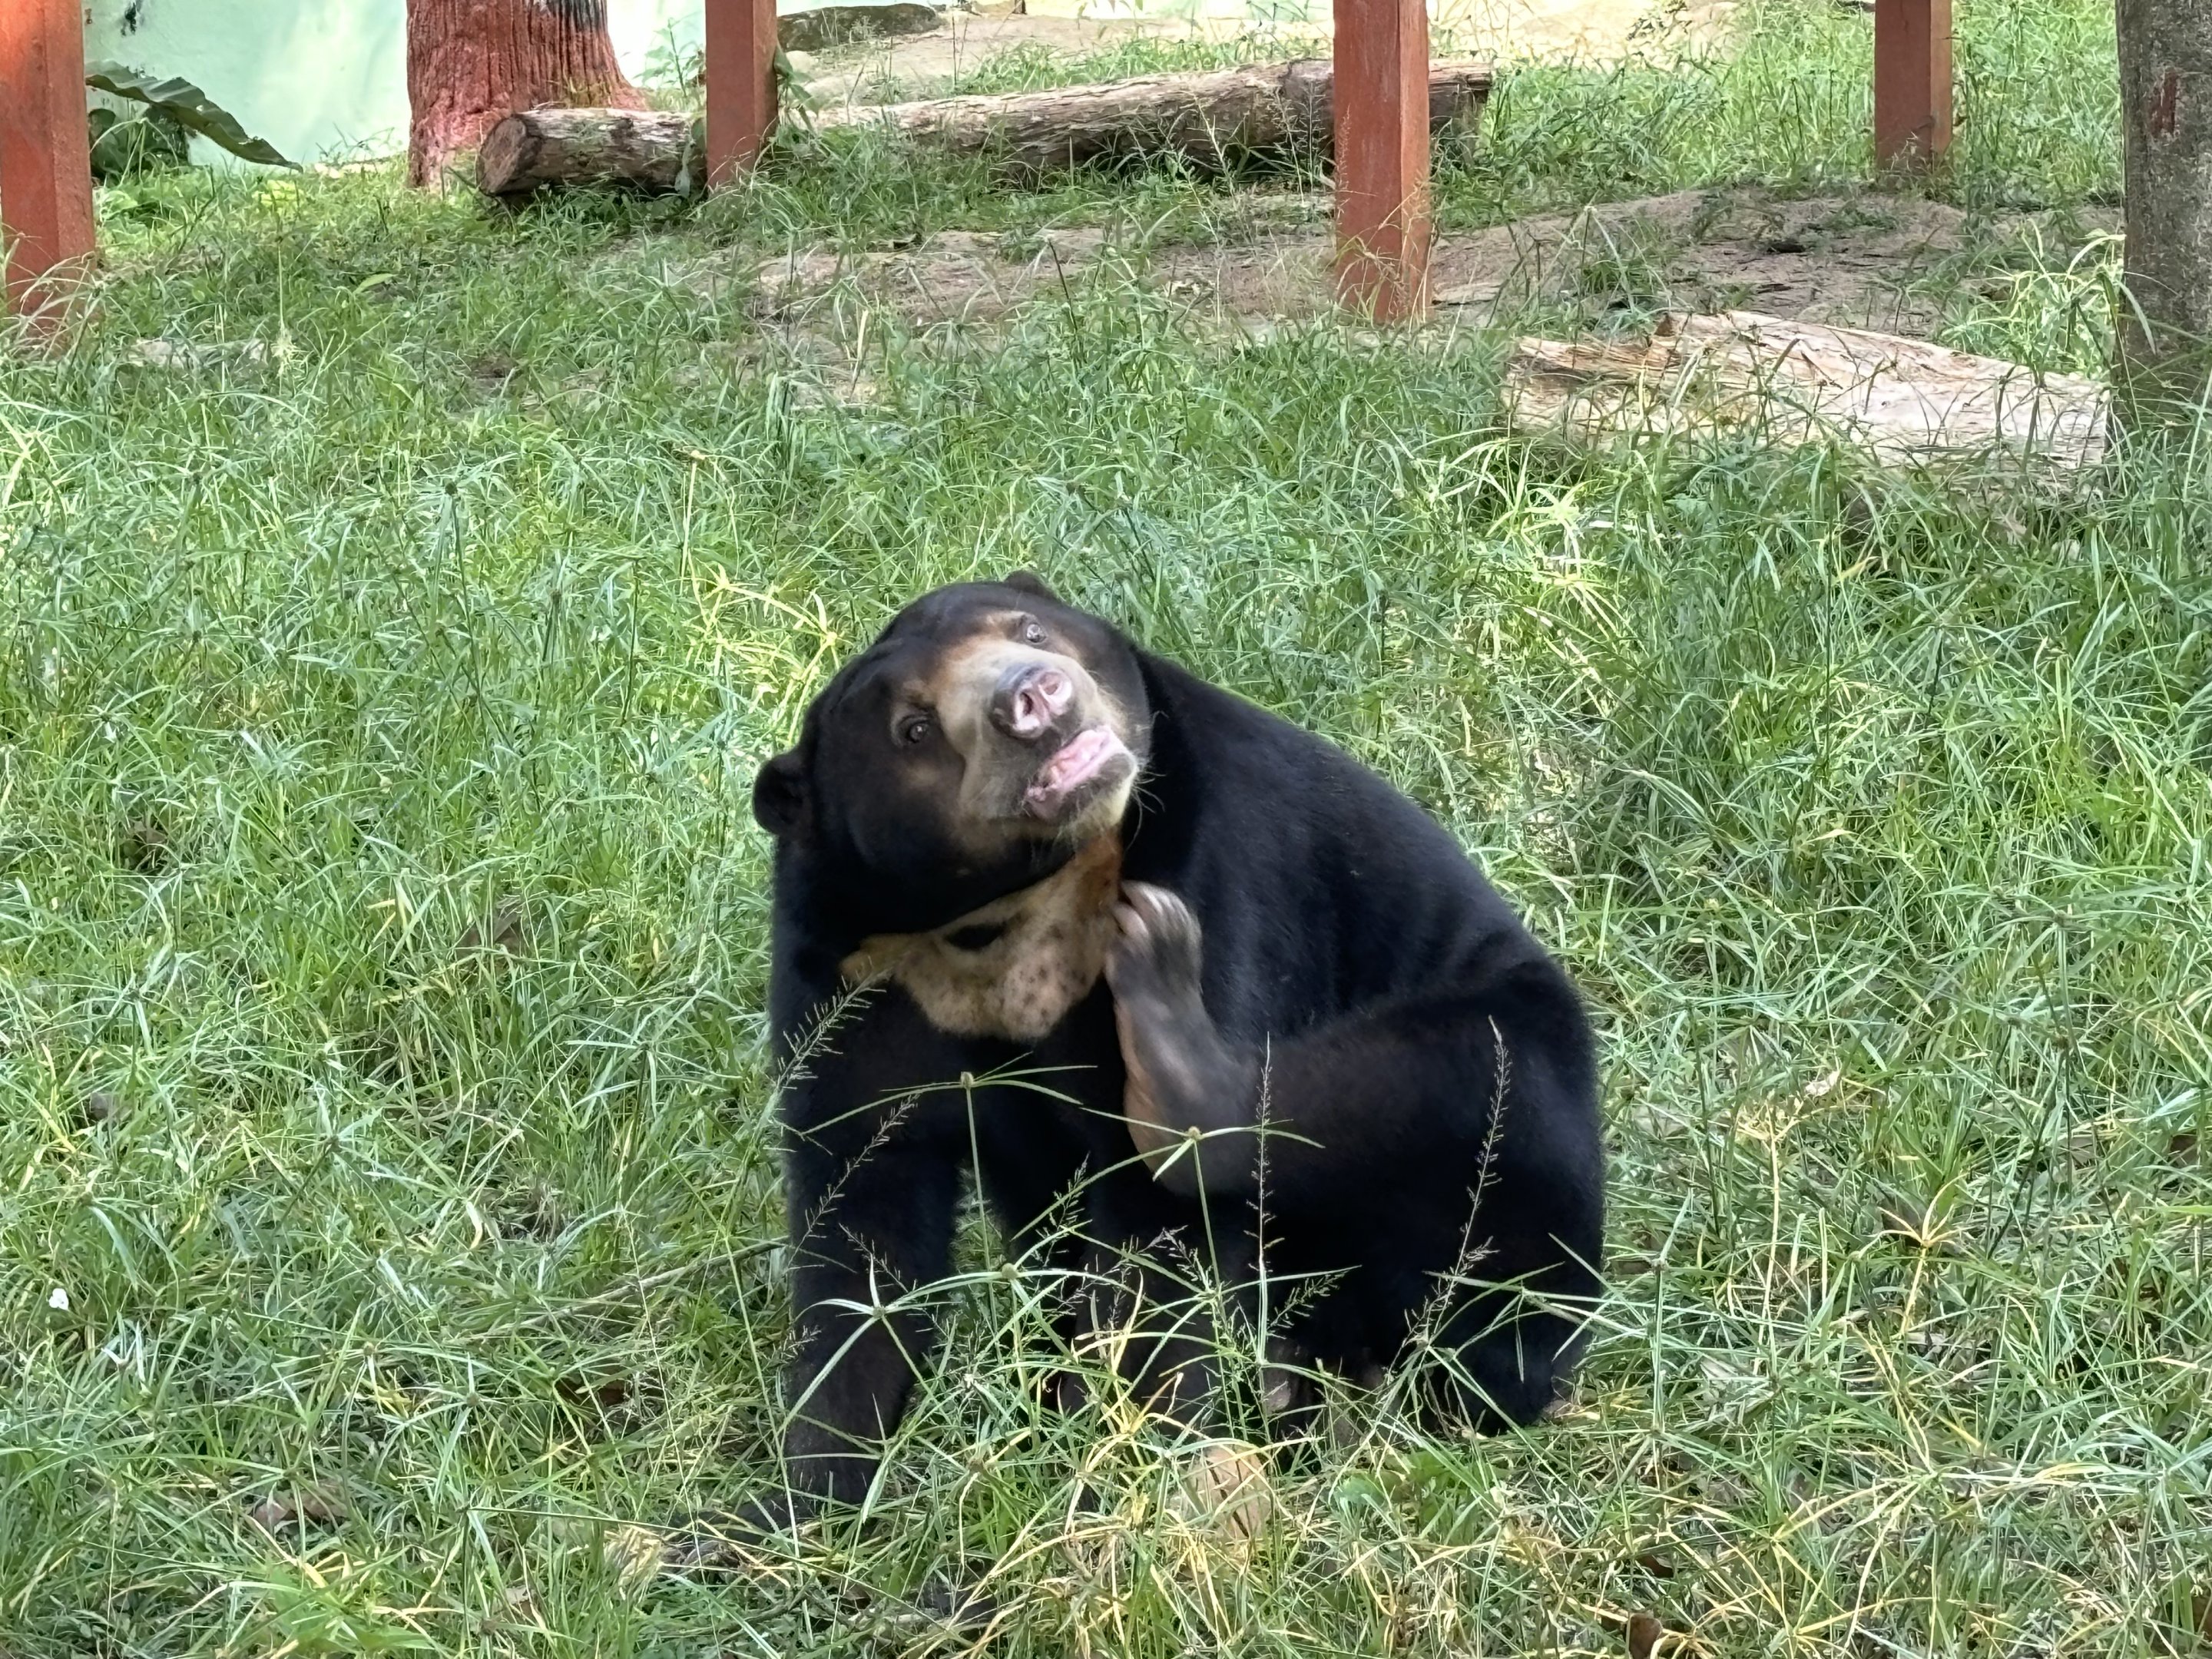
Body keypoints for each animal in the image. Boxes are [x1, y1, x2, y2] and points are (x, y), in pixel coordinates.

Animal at [737, 574, 1604, 1529]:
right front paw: (802, 1507)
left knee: (1450, 1091)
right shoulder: (853, 971)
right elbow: (862, 1222)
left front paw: (1117, 1475)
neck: (1000, 918)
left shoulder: (1215, 858)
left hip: (1518, 1103)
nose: (1036, 702)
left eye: (1027, 631)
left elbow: (1161, 1250)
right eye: (914, 729)